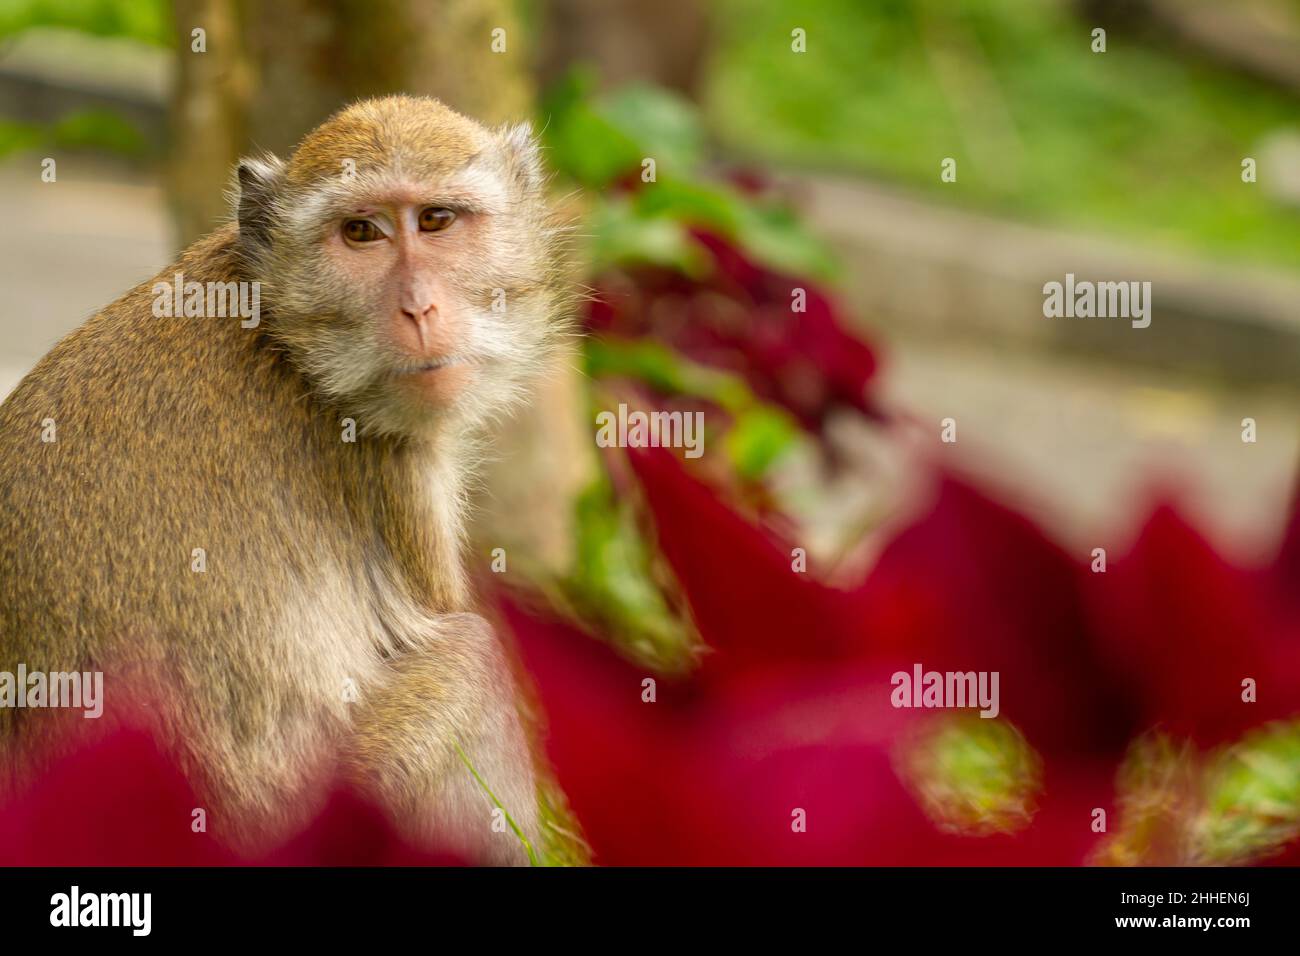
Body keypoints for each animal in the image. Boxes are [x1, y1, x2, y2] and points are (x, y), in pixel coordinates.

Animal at [0, 95, 571, 865]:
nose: (418, 308)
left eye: (436, 221)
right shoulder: (390, 460)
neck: (286, 337)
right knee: (471, 661)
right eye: (360, 232)